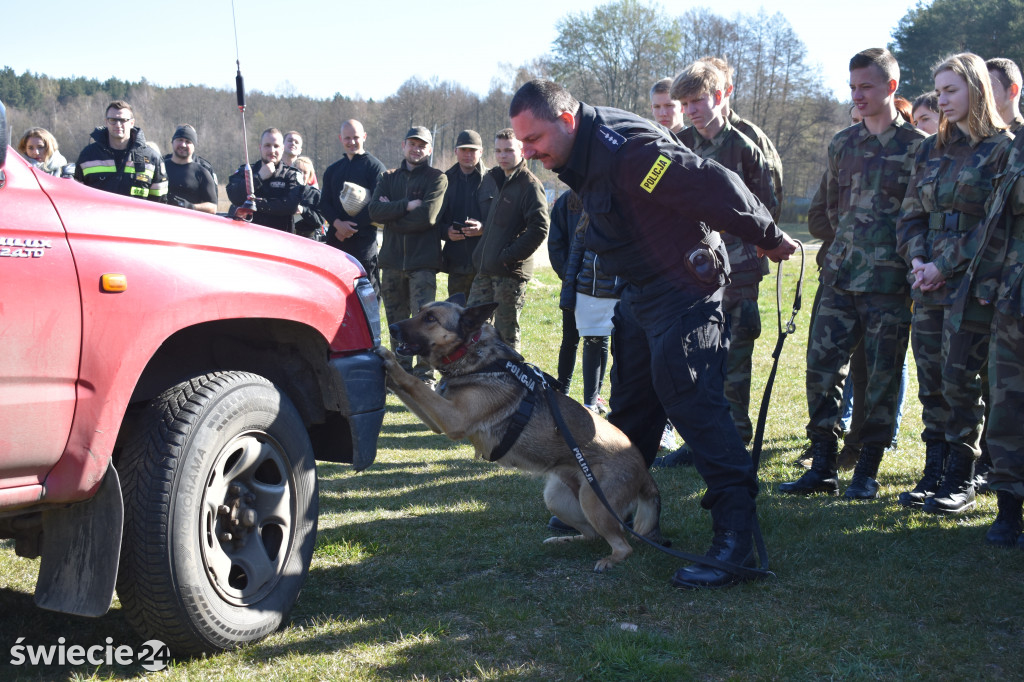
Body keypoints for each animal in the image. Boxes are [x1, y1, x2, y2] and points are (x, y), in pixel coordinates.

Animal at [378, 294, 663, 569]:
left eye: (430, 318)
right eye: (419, 311)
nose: (391, 328)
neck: (473, 352)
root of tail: (643, 469)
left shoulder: (452, 419)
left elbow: (413, 382)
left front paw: (389, 360)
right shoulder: (440, 420)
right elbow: (409, 388)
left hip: (594, 502)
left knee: (623, 546)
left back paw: (610, 560)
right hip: (557, 499)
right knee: (593, 535)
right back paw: (564, 540)